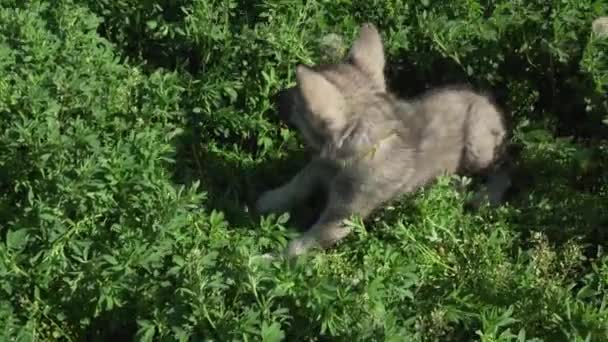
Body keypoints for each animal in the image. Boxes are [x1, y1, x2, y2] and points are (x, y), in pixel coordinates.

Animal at [256, 22, 512, 258]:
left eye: (297, 101)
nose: (273, 95)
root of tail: (490, 102)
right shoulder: (320, 166)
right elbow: (297, 184)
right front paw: (268, 200)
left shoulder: (339, 219)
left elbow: (297, 246)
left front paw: (265, 260)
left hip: (479, 147)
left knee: (503, 168)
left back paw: (478, 192)